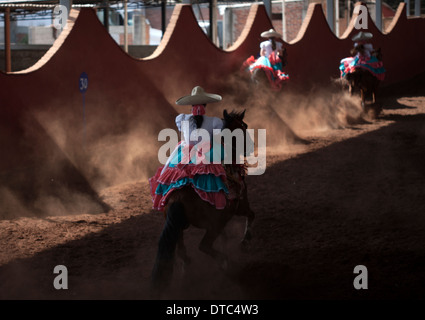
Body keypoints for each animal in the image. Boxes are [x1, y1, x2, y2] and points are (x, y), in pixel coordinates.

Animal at [151, 110, 253, 298]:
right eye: (243, 127)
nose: (250, 147)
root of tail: (178, 198)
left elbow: (225, 236)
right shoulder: (241, 206)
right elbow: (251, 215)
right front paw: (244, 242)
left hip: (179, 227)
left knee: (181, 251)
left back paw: (186, 270)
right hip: (212, 225)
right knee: (203, 245)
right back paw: (224, 262)